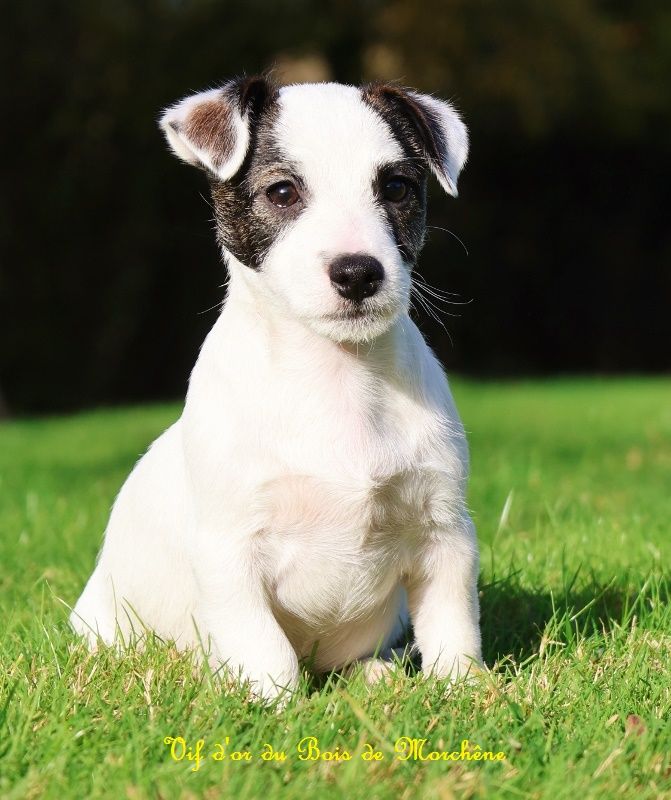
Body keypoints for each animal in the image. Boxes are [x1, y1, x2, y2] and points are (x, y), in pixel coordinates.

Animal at [71, 76, 484, 700]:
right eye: (284, 191)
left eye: (396, 187)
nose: (358, 272)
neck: (336, 377)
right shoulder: (229, 550)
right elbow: (265, 648)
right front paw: (271, 704)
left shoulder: (444, 533)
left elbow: (453, 624)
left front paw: (466, 689)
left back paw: (375, 673)